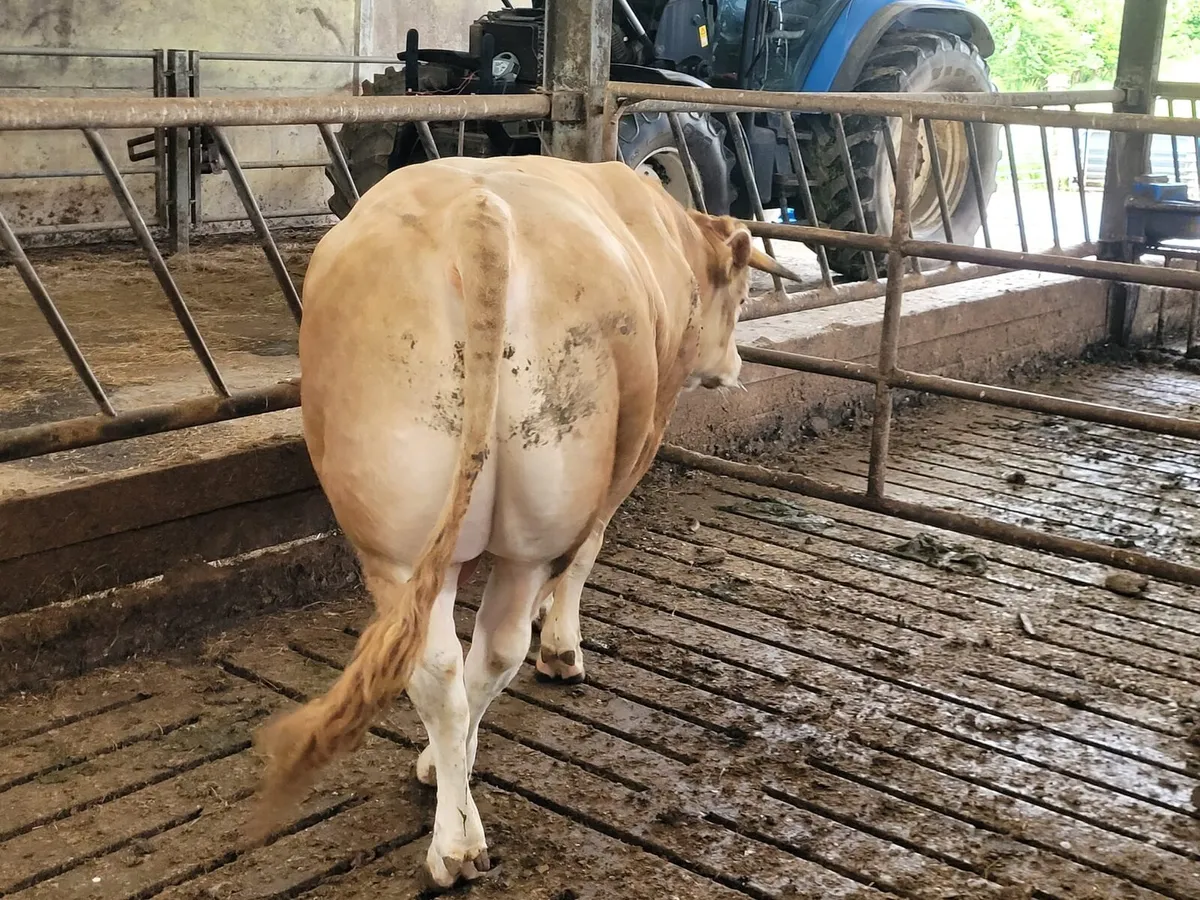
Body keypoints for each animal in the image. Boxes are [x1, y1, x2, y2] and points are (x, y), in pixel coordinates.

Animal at [250, 153, 795, 888]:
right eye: (738, 298)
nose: (734, 366)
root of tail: (477, 215)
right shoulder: (643, 441)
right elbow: (590, 551)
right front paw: (562, 645)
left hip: (400, 540)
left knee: (447, 665)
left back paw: (452, 830)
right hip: (534, 511)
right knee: (487, 651)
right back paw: (456, 818)